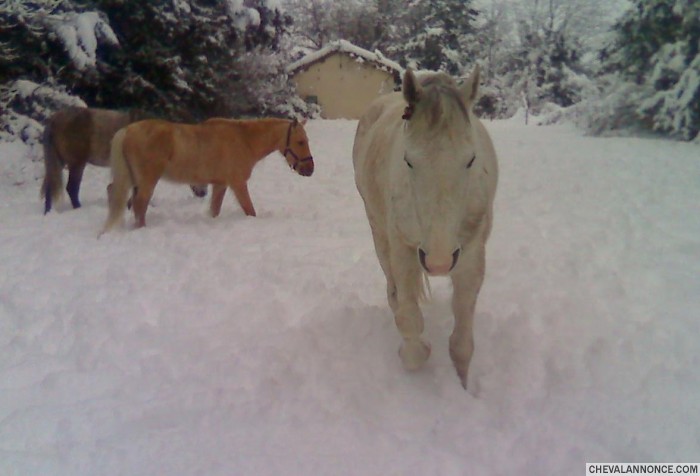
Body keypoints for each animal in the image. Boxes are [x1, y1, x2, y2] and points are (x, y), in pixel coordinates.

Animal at [41, 108, 206, 214]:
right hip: (77, 163)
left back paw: (48, 213)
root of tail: (54, 119)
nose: (203, 193)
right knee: (71, 188)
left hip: (59, 161)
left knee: (50, 187)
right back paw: (78, 208)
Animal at [100, 117, 314, 232]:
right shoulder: (238, 184)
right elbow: (250, 211)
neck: (244, 140)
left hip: (133, 179)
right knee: (139, 205)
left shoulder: (220, 185)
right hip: (146, 181)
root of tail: (127, 130)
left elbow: (214, 210)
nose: (310, 169)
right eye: (300, 142)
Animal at [356, 65, 498, 388]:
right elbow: (409, 322)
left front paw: (463, 389)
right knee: (394, 294)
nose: (439, 262)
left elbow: (461, 345)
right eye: (409, 161)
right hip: (379, 234)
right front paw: (415, 353)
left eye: (471, 159)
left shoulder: (472, 259)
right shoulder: (404, 252)